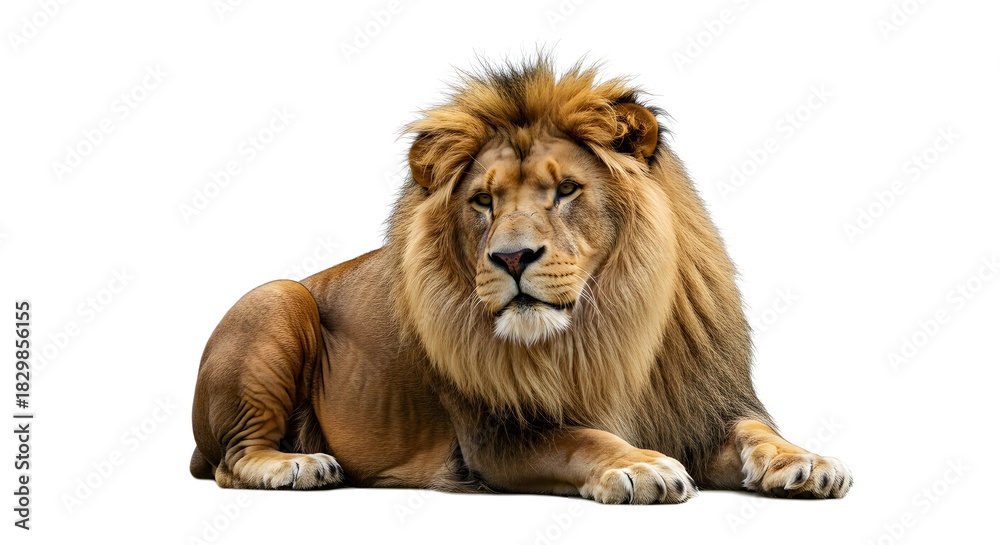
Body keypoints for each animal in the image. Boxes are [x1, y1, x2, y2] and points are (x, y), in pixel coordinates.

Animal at [189, 57, 852, 503]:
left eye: (566, 190)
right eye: (483, 201)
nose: (511, 258)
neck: (607, 329)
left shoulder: (700, 405)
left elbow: (755, 430)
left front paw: (806, 461)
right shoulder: (496, 439)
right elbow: (581, 439)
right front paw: (641, 467)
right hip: (277, 299)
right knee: (230, 462)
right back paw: (299, 466)